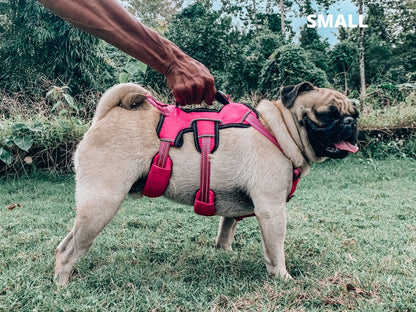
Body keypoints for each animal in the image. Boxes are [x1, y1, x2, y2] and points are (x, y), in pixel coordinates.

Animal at [53, 81, 358, 286]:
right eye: (328, 114)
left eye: (354, 112)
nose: (350, 123)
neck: (279, 129)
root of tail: (104, 116)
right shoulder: (272, 211)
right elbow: (275, 250)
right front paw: (282, 278)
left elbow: (226, 229)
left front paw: (224, 253)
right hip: (102, 203)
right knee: (71, 250)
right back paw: (64, 286)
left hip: (92, 208)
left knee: (67, 242)